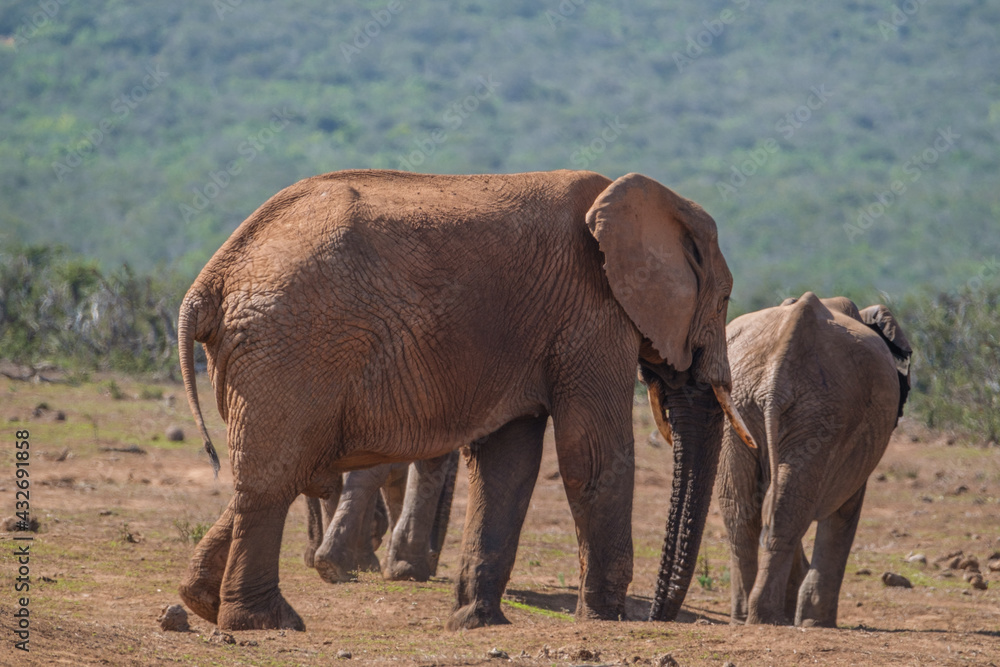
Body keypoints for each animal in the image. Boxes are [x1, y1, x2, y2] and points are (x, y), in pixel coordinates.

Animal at [704, 293, 911, 627]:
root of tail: (776, 374)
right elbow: (845, 510)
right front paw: (816, 622)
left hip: (743, 405)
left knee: (745, 508)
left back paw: (747, 616)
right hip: (825, 411)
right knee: (786, 506)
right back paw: (769, 618)